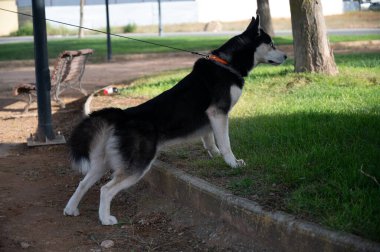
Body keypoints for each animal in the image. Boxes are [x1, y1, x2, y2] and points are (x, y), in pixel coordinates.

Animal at [63, 14, 286, 225]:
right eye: (271, 44)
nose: (285, 55)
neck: (227, 65)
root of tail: (124, 114)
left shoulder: (210, 119)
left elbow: (210, 141)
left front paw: (215, 156)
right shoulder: (219, 113)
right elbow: (226, 144)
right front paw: (232, 163)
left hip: (102, 162)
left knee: (83, 183)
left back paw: (71, 209)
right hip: (138, 165)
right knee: (106, 189)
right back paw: (105, 219)